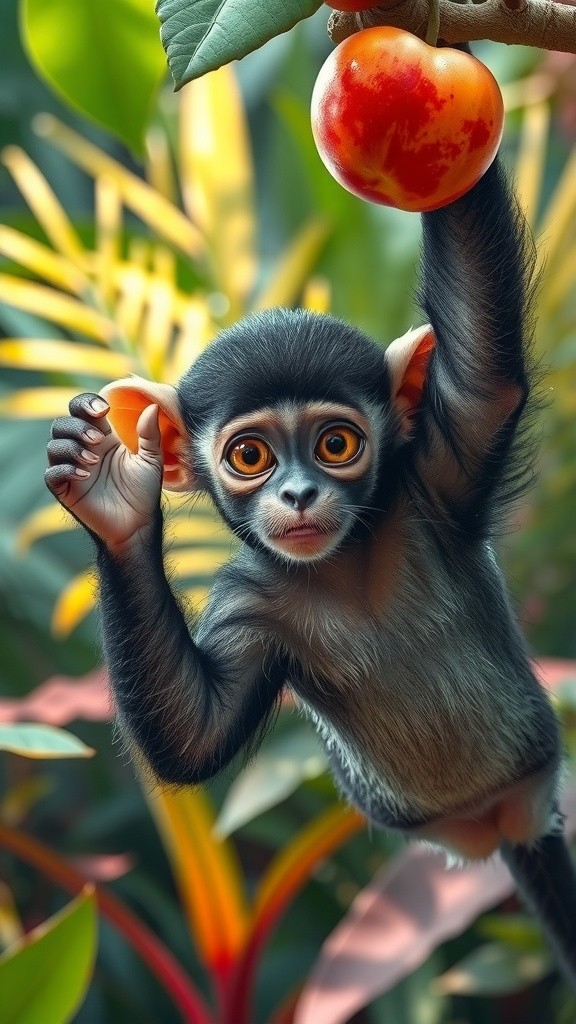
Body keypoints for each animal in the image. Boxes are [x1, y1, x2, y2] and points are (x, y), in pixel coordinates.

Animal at [45, 149, 576, 987]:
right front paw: (111, 496)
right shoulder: (248, 602)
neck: (345, 568)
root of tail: (495, 824)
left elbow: (486, 380)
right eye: (250, 455)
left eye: (335, 444)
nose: (297, 492)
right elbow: (194, 733)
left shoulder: (440, 475)